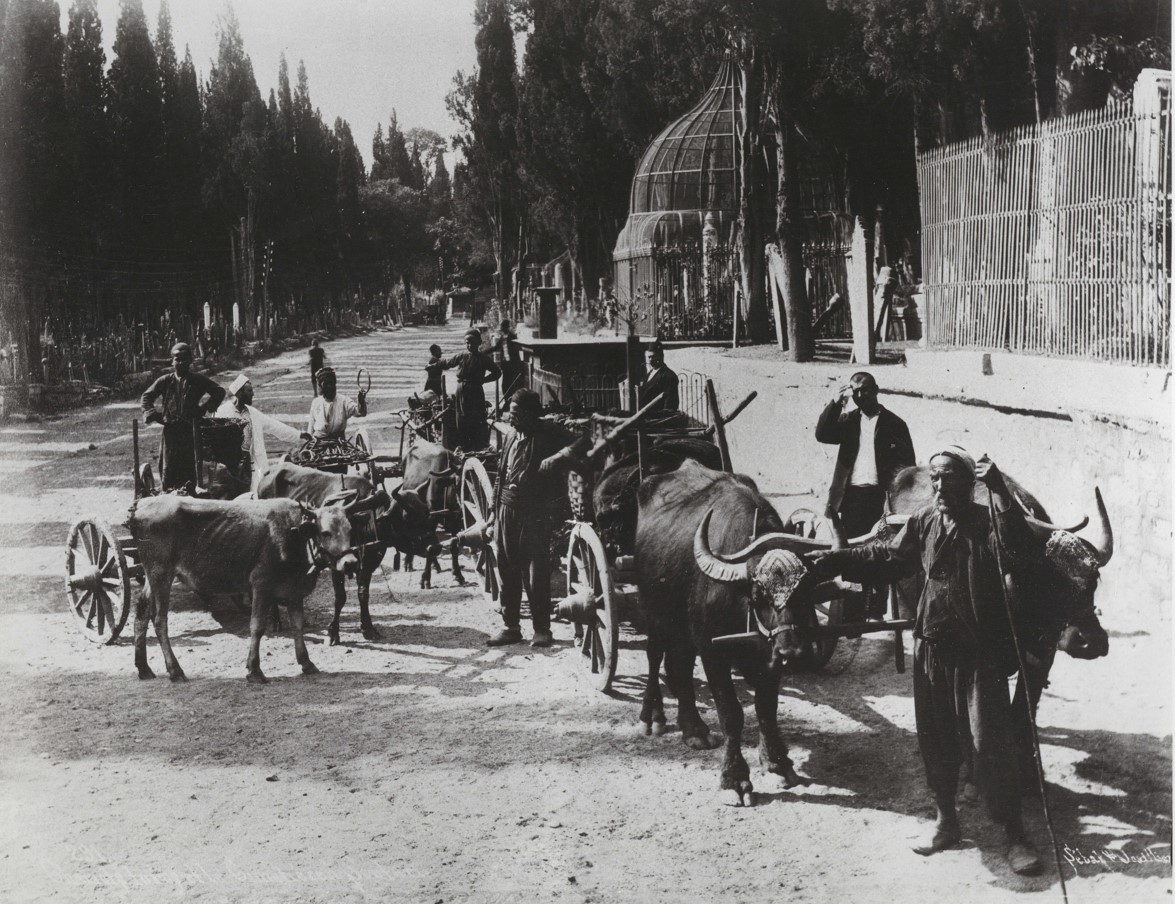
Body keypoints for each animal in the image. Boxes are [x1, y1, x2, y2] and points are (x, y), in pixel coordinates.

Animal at [126, 498, 359, 681]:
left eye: (350, 530)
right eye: (325, 532)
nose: (350, 563)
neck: (295, 535)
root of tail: (142, 504)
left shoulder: (294, 589)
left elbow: (298, 625)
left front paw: (306, 662)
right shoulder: (261, 584)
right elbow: (257, 626)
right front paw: (254, 670)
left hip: (152, 576)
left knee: (141, 614)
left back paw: (143, 668)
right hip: (161, 574)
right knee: (159, 620)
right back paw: (175, 670)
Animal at [257, 460, 441, 644]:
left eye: (427, 511)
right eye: (407, 516)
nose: (435, 547)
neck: (364, 521)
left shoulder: (367, 564)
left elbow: (363, 594)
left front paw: (367, 628)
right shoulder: (336, 564)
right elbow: (340, 597)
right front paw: (333, 632)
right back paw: (275, 621)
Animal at [634, 458, 845, 804]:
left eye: (806, 595)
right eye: (758, 596)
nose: (793, 651)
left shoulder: (769, 659)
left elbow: (766, 708)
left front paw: (777, 762)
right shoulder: (713, 651)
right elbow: (731, 713)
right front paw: (735, 779)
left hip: (682, 629)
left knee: (678, 667)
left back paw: (695, 730)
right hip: (654, 611)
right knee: (654, 656)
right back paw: (652, 718)